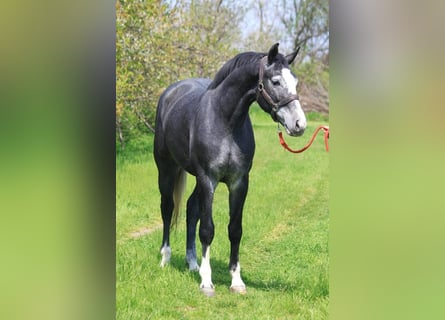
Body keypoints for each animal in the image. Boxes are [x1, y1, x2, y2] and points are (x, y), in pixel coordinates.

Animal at [153, 43, 306, 298]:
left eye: (295, 80)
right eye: (275, 81)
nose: (299, 124)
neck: (224, 121)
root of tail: (170, 92)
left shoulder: (239, 182)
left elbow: (235, 229)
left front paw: (236, 281)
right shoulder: (208, 179)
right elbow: (207, 229)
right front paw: (207, 282)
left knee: (191, 209)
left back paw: (192, 263)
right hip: (167, 169)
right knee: (168, 208)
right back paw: (165, 259)